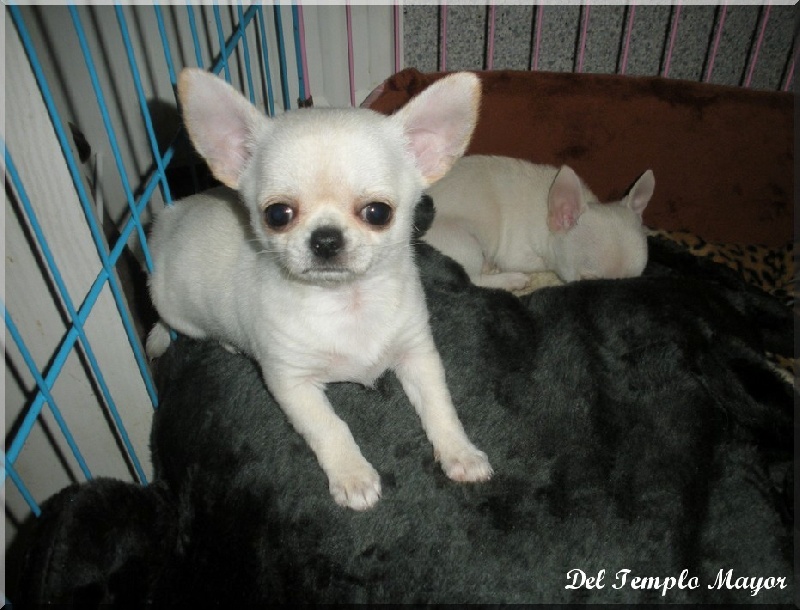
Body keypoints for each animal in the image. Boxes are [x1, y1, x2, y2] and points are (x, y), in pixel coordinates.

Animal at [145, 69, 492, 511]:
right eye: (278, 214)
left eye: (378, 213)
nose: (325, 239)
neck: (346, 302)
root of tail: (168, 219)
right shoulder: (291, 383)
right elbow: (329, 427)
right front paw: (353, 475)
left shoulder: (418, 356)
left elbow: (440, 406)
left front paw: (460, 452)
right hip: (176, 310)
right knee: (180, 327)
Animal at [423, 155, 655, 290]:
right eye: (588, 280)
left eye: (634, 280)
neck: (548, 215)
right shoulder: (515, 256)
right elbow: (542, 263)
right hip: (462, 240)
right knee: (471, 279)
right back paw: (511, 280)